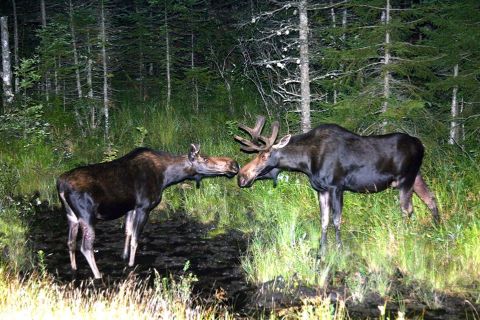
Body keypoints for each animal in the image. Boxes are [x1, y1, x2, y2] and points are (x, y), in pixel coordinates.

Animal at [57, 145, 239, 278]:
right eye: (206, 158)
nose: (234, 164)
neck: (167, 176)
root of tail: (61, 186)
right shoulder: (144, 207)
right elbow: (135, 239)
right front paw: (131, 264)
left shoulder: (131, 207)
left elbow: (127, 232)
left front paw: (124, 257)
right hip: (87, 216)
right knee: (85, 247)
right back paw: (98, 275)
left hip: (71, 216)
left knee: (70, 242)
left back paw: (74, 269)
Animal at [234, 116, 440, 254]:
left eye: (264, 155)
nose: (241, 177)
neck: (305, 162)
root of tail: (421, 145)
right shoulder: (321, 189)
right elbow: (324, 220)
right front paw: (321, 249)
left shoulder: (336, 186)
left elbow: (336, 220)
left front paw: (339, 249)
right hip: (416, 176)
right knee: (431, 198)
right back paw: (438, 228)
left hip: (406, 180)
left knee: (408, 209)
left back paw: (405, 236)